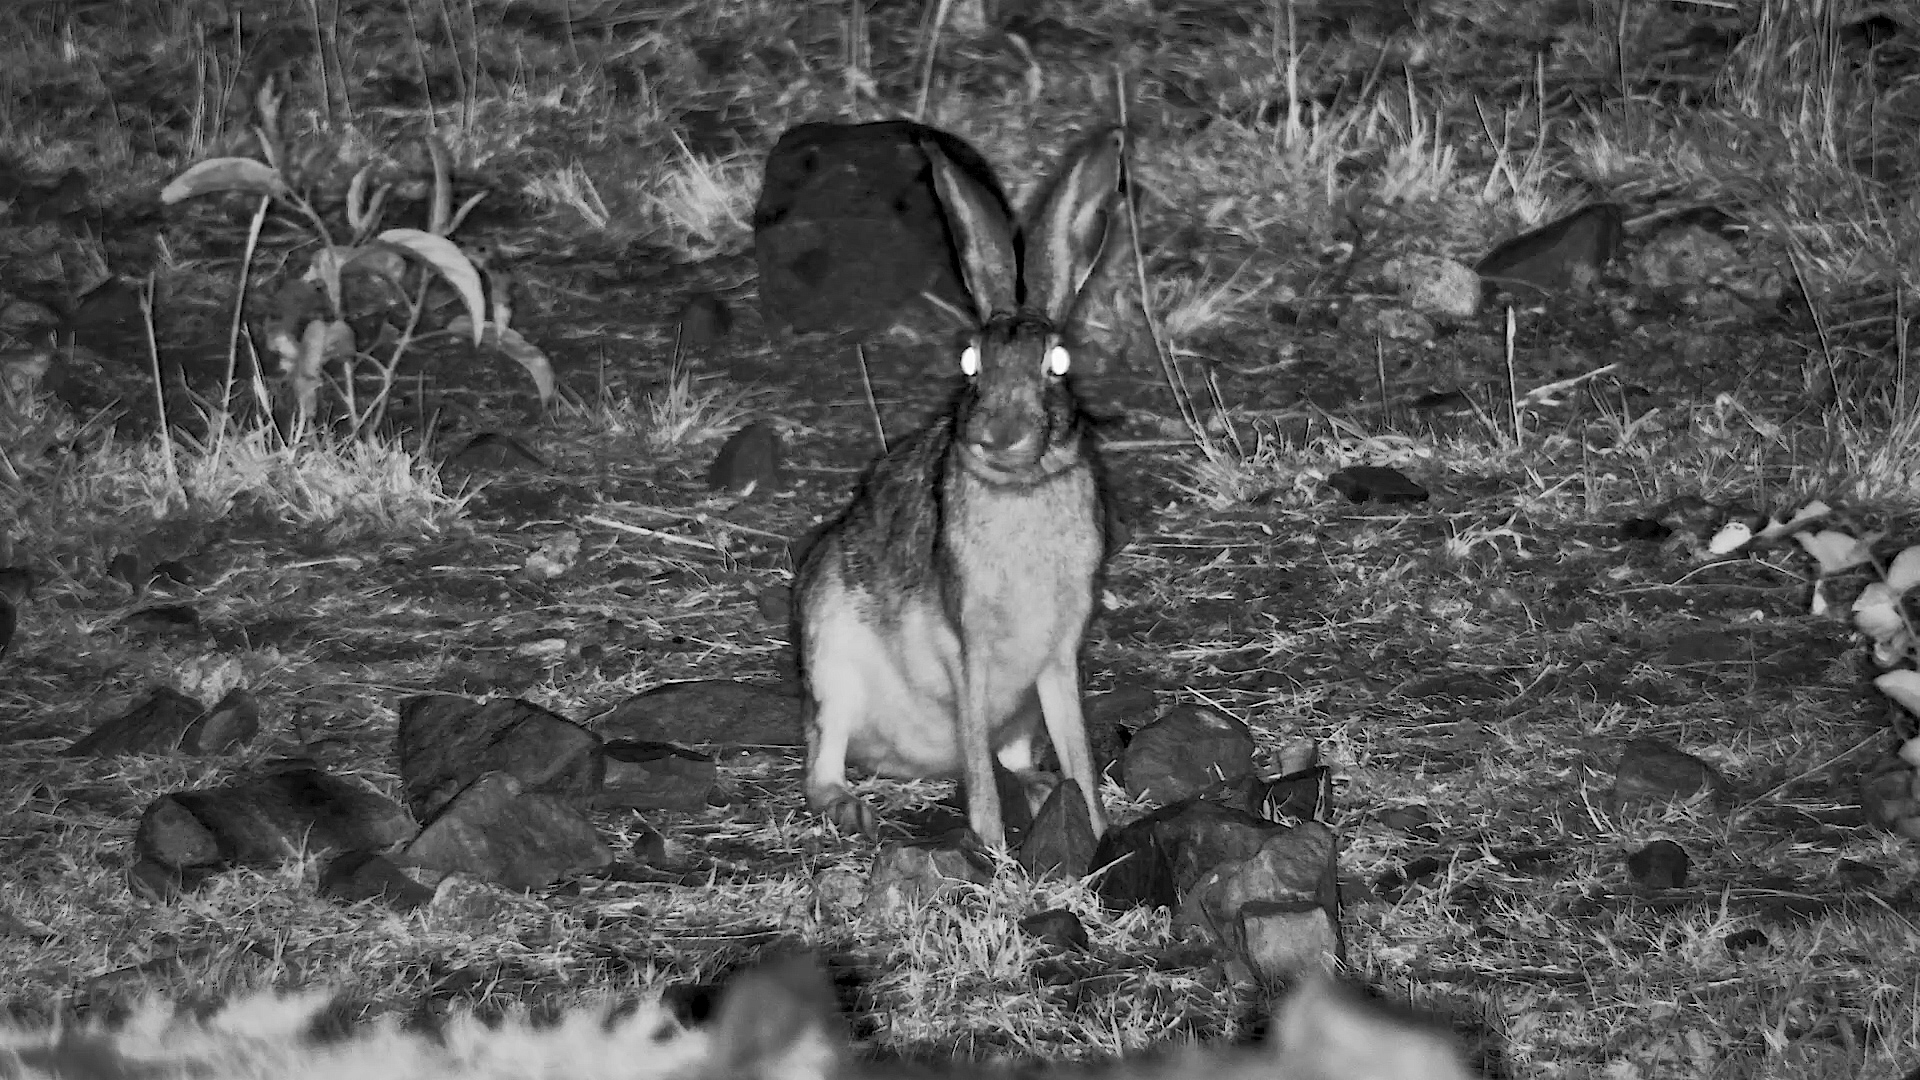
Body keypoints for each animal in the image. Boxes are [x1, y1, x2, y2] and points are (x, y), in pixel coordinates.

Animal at [790, 126, 1125, 851]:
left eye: (1059, 364)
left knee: (1011, 758)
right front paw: (993, 845)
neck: (1021, 487)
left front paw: (1096, 828)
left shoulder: (1058, 656)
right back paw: (848, 807)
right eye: (970, 363)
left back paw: (1037, 788)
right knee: (823, 756)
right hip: (830, 656)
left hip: (1016, 716)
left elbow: (1078, 749)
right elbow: (976, 755)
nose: (997, 434)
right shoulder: (966, 644)